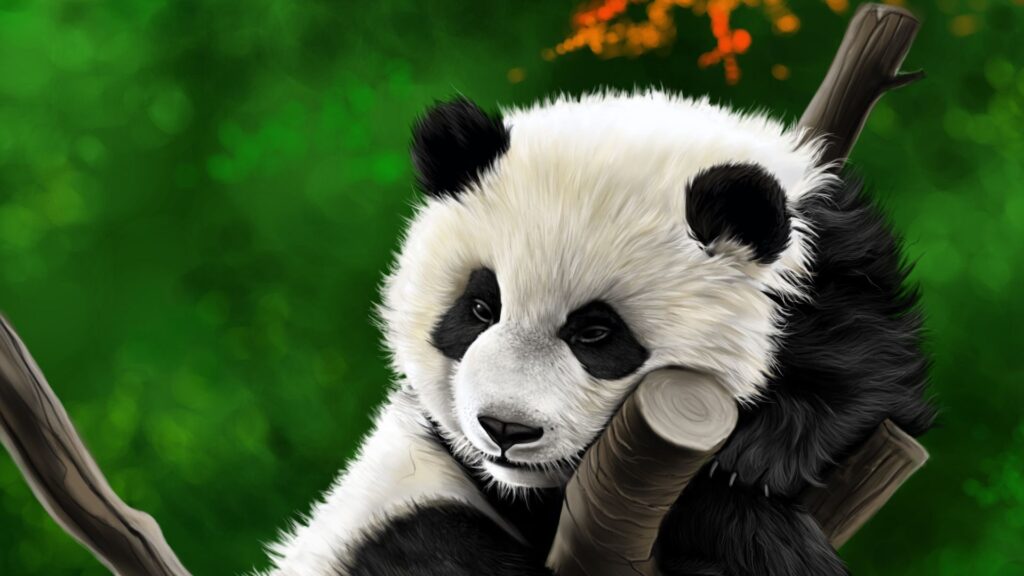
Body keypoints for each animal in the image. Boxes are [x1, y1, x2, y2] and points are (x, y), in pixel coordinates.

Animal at [261, 90, 933, 576]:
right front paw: (759, 535)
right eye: (479, 309)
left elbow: (867, 368)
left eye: (596, 334)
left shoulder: (836, 266)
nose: (505, 429)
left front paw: (757, 460)